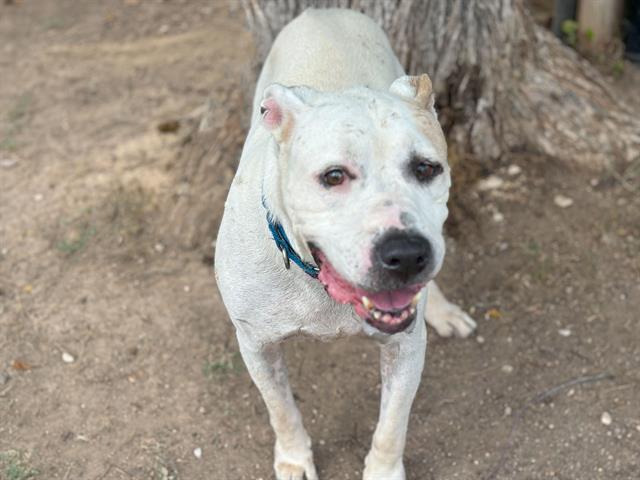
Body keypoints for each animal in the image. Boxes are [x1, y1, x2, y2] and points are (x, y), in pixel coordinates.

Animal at [218, 8, 478, 480]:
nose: (406, 254)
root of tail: (323, 12)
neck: (316, 281)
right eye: (334, 176)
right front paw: (294, 459)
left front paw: (382, 470)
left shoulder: (405, 347)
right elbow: (281, 409)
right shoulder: (257, 346)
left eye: (426, 168)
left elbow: (392, 424)